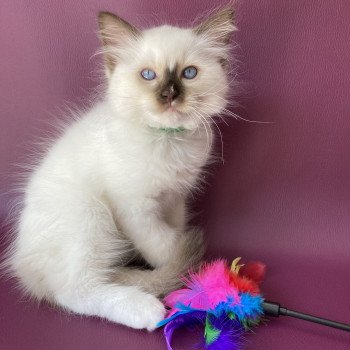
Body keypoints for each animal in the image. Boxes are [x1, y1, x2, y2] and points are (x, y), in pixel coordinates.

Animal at [4, 8, 235, 330]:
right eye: (148, 75)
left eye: (189, 73)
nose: (169, 95)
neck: (167, 140)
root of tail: (23, 263)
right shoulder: (135, 209)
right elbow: (164, 247)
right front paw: (187, 274)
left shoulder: (175, 200)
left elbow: (173, 237)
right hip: (90, 215)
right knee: (74, 291)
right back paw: (146, 308)